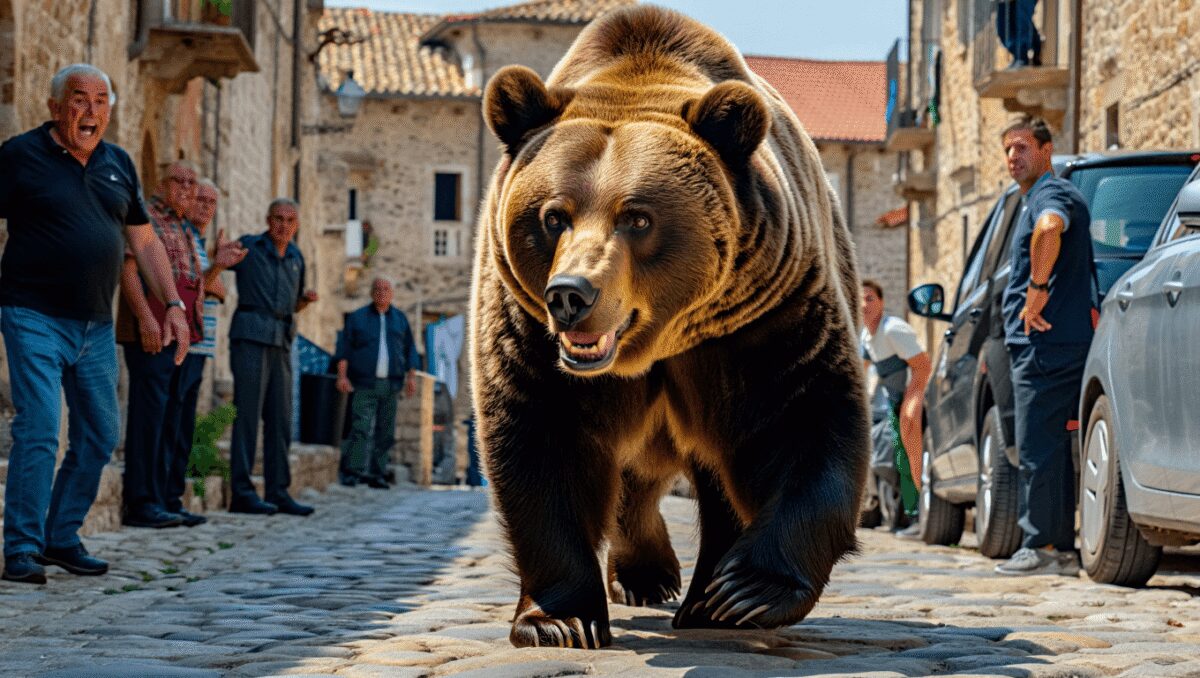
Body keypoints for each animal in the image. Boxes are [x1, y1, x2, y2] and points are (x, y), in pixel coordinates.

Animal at [469, 4, 870, 649]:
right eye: (553, 216)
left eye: (636, 217)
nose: (571, 295)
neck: (657, 341)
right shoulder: (525, 327)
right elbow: (541, 440)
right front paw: (559, 619)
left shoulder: (761, 317)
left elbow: (802, 416)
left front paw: (750, 590)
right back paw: (648, 576)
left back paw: (707, 599)